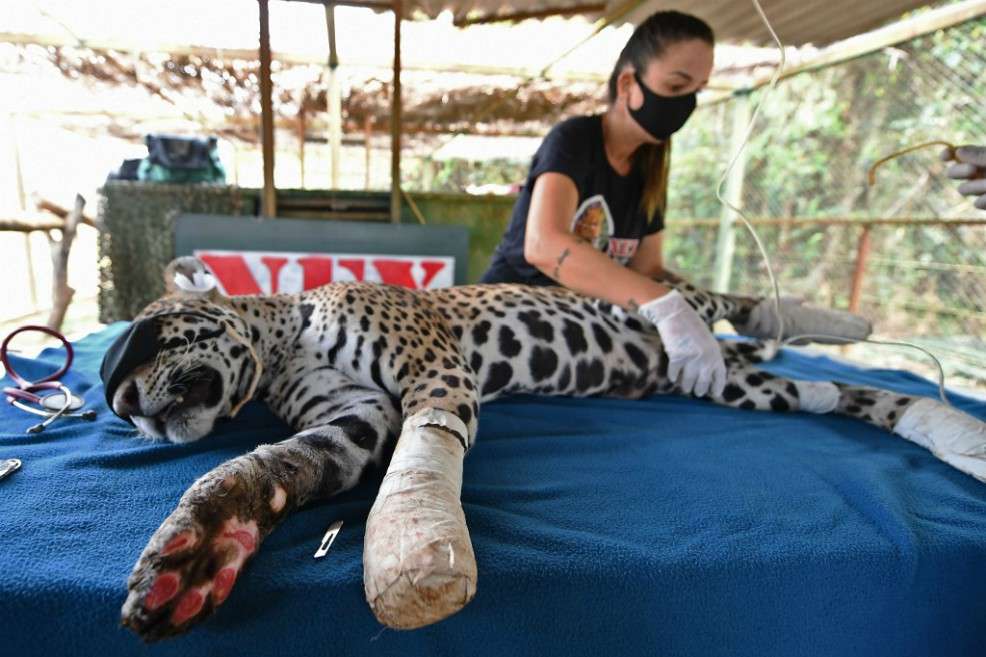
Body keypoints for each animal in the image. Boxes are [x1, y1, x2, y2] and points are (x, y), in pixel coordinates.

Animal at [110, 256, 986, 641]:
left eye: (150, 334)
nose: (125, 405)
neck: (286, 339)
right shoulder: (350, 424)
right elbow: (259, 467)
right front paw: (200, 551)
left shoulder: (434, 375)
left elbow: (423, 458)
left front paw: (417, 555)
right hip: (734, 389)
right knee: (839, 394)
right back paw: (948, 429)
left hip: (678, 306)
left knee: (724, 299)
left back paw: (832, 320)